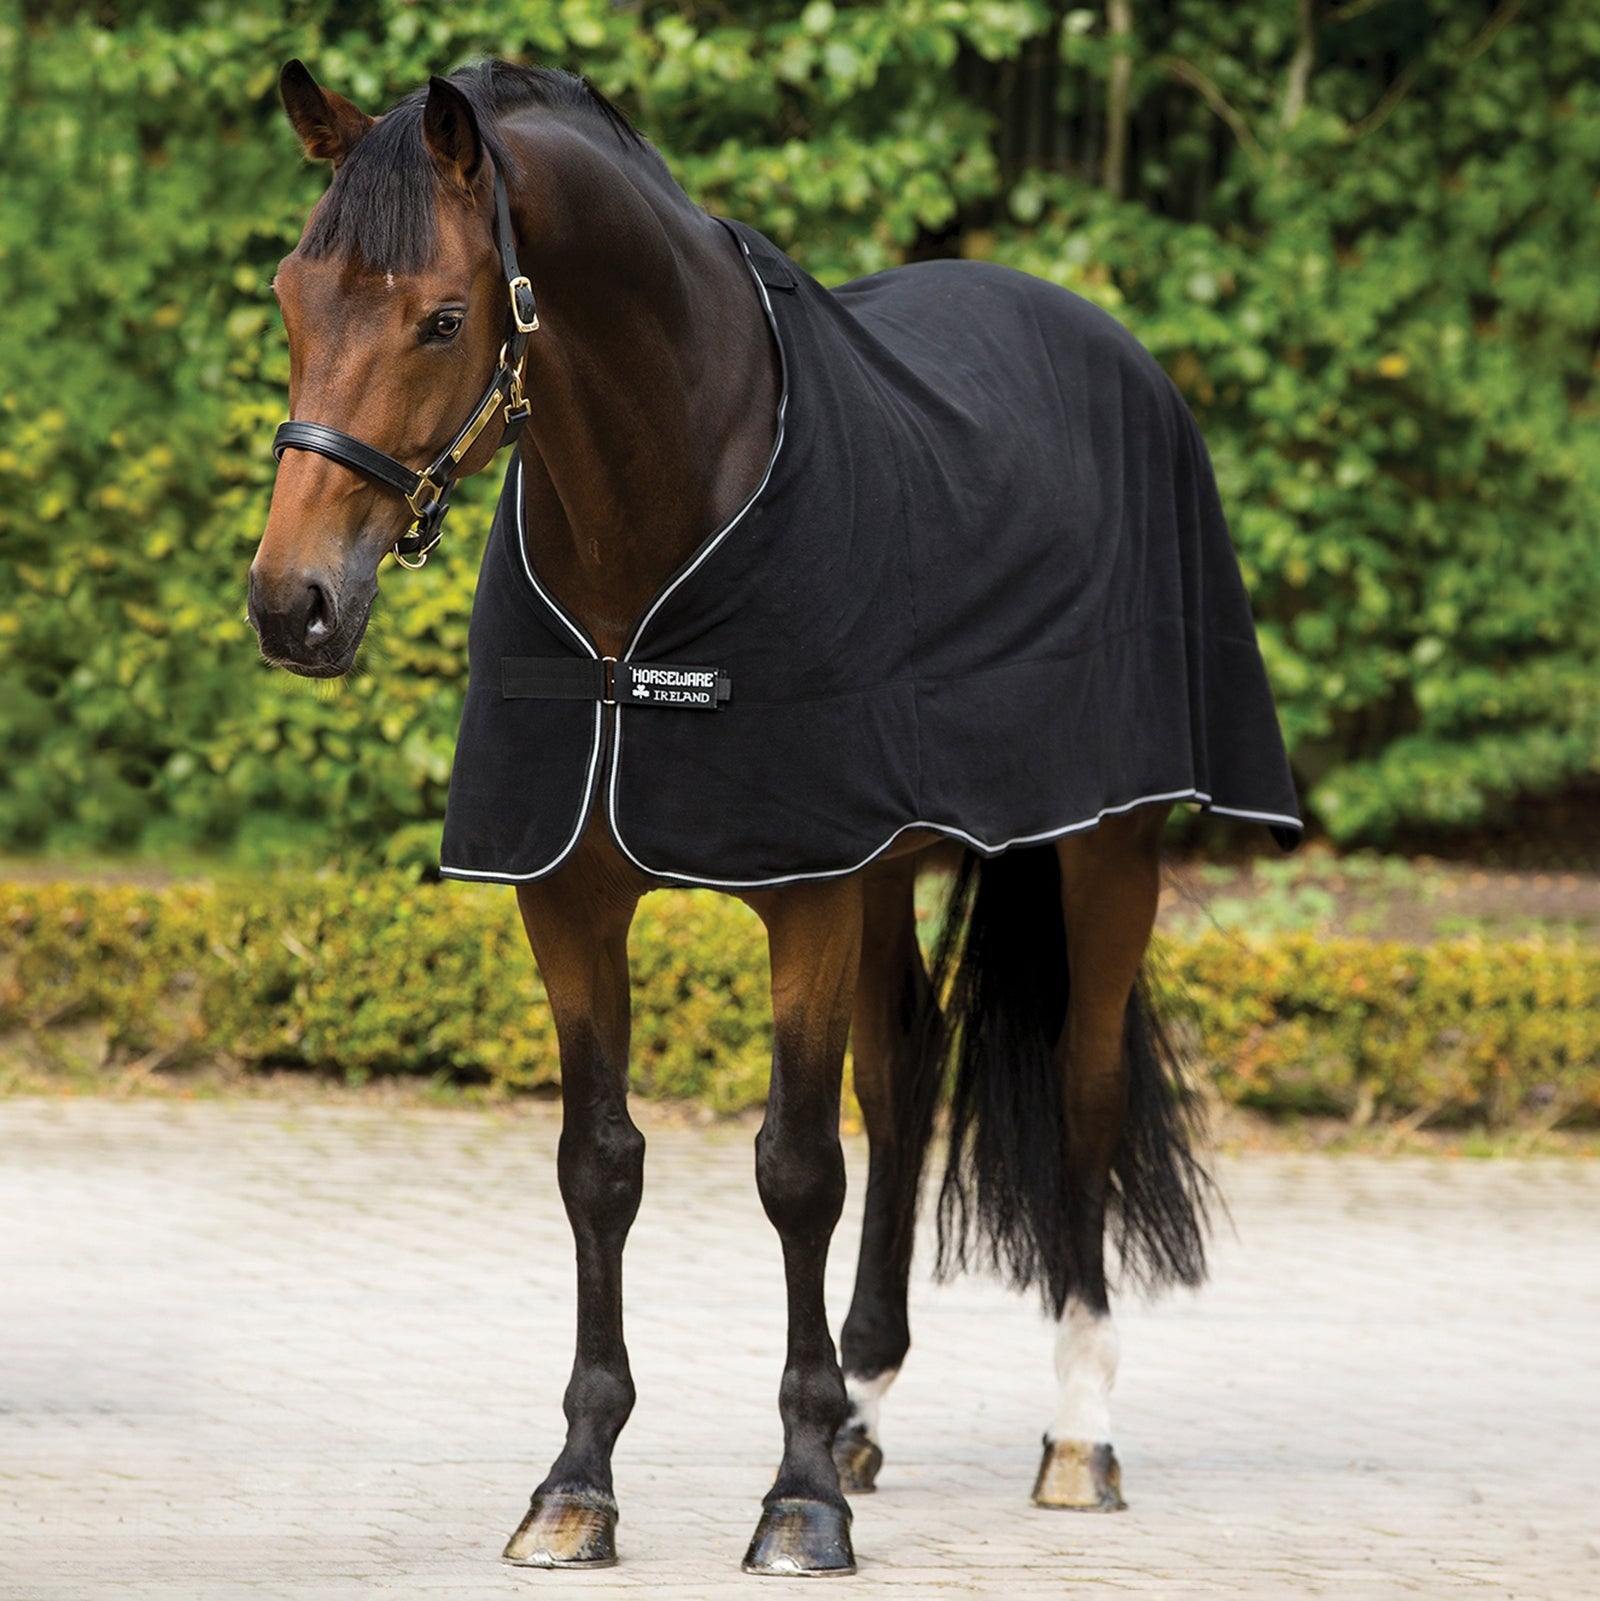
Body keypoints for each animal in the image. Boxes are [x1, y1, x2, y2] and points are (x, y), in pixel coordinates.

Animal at [247, 59, 1301, 1577]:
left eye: (443, 315)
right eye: (290, 297)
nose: (295, 604)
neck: (657, 538)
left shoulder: (801, 888)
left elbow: (798, 1168)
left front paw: (795, 1498)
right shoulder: (574, 895)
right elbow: (599, 1167)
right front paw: (576, 1486)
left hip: (1105, 848)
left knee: (1083, 1091)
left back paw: (1075, 1437)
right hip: (887, 863)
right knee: (908, 1071)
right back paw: (864, 1407)